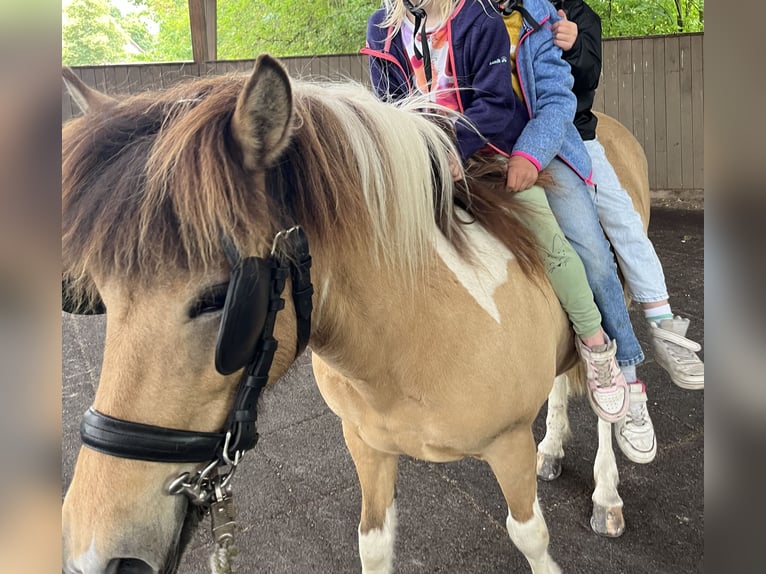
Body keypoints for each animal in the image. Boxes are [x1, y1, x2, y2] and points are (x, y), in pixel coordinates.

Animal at [61, 55, 648, 574]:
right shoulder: (365, 445)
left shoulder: (507, 444)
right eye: (102, 297)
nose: (94, 554)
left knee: (608, 381)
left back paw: (607, 490)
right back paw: (553, 446)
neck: (412, 333)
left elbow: (530, 536)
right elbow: (373, 544)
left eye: (220, 298)